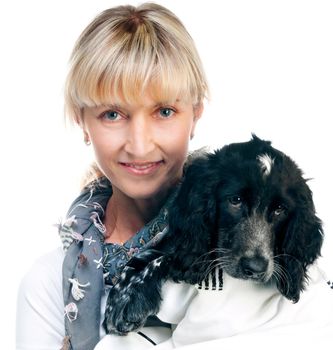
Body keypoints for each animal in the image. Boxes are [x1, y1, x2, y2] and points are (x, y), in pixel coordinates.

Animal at [103, 135, 322, 334]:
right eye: (235, 200)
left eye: (280, 210)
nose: (255, 268)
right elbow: (148, 256)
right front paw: (121, 297)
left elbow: (167, 257)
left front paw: (130, 297)